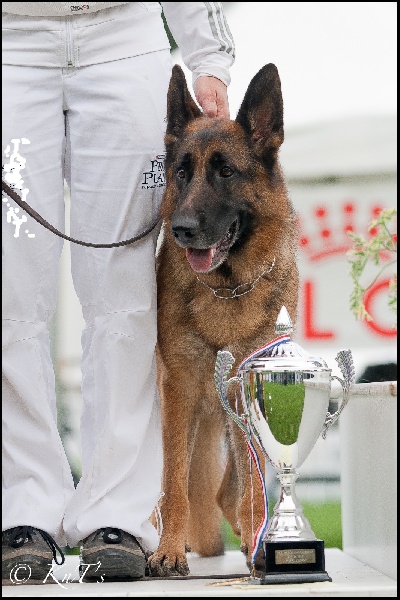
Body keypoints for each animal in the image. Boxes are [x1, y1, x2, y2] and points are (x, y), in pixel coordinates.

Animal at [148, 62, 298, 576]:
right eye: (181, 171)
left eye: (225, 171)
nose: (182, 229)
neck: (227, 287)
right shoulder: (179, 389)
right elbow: (174, 480)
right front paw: (168, 550)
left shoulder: (248, 389)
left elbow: (251, 486)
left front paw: (259, 543)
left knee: (229, 490)